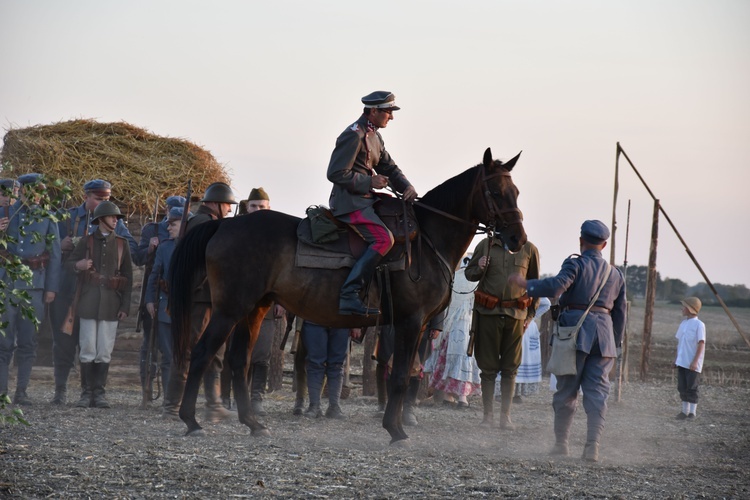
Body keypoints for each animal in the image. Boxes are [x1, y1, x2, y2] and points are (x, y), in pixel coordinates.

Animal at [170, 146, 524, 444]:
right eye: (495, 191)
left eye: (516, 192)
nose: (517, 238)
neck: (426, 239)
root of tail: (223, 226)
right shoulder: (410, 322)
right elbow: (398, 376)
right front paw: (395, 430)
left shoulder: (420, 325)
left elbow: (407, 372)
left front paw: (396, 425)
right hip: (229, 309)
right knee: (201, 353)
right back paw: (191, 420)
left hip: (254, 309)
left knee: (238, 360)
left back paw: (253, 423)